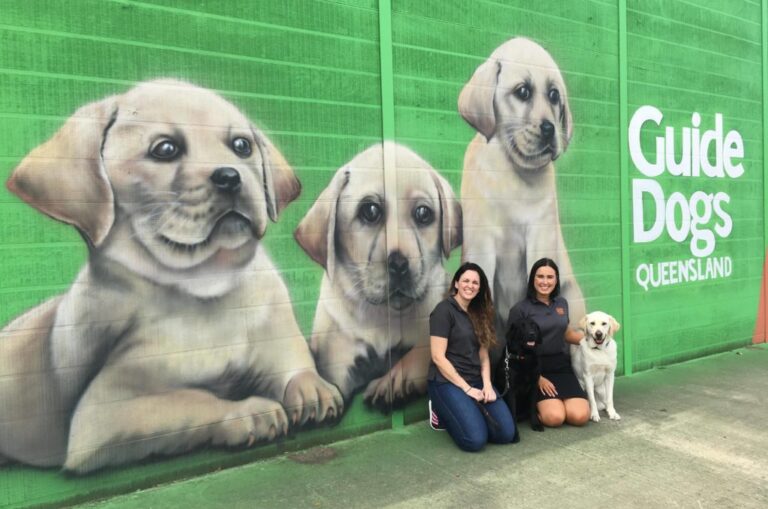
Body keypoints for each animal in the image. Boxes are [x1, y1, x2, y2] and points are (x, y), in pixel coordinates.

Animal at [0, 78, 342, 472]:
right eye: (165, 149)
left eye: (242, 146)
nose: (230, 176)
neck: (207, 287)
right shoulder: (104, 414)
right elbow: (191, 400)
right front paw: (246, 411)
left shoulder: (277, 334)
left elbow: (297, 367)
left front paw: (312, 387)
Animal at [296, 142, 462, 408]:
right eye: (370, 211)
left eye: (423, 214)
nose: (399, 265)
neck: (382, 316)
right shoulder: (339, 360)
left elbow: (420, 353)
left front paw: (394, 381)